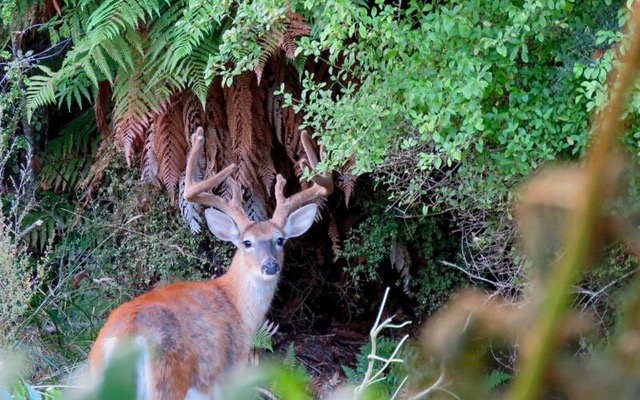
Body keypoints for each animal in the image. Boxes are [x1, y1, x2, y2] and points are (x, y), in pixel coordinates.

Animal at [88, 127, 333, 400]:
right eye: (247, 242)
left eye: (279, 240)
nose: (270, 266)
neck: (237, 305)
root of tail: (127, 338)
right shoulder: (230, 373)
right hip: (167, 380)